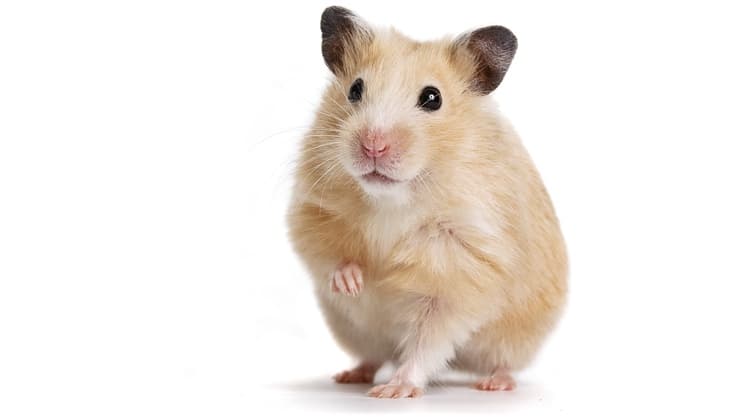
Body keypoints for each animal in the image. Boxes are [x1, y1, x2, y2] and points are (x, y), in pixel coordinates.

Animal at [287, 6, 568, 399]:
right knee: (373, 355)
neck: (393, 199)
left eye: (432, 98)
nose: (373, 146)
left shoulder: (461, 271)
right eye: (355, 89)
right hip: (354, 331)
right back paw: (350, 375)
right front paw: (354, 282)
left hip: (516, 337)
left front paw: (394, 391)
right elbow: (328, 254)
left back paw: (494, 384)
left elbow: (428, 340)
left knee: (501, 361)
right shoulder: (312, 209)